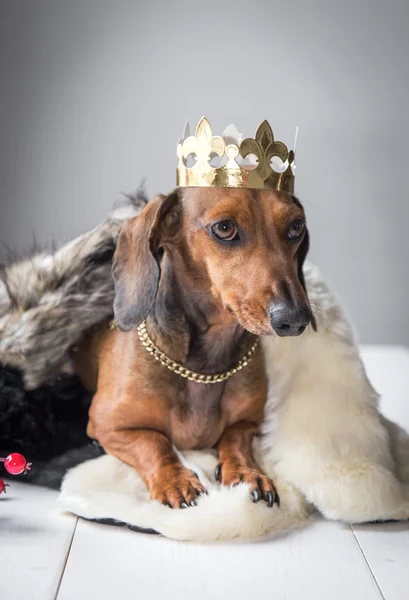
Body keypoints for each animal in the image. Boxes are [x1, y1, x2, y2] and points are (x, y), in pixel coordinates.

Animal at [75, 186, 312, 506]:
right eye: (224, 228)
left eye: (296, 226)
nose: (294, 319)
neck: (205, 366)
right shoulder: (106, 425)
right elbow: (153, 442)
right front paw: (175, 480)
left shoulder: (251, 422)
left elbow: (236, 438)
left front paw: (245, 472)